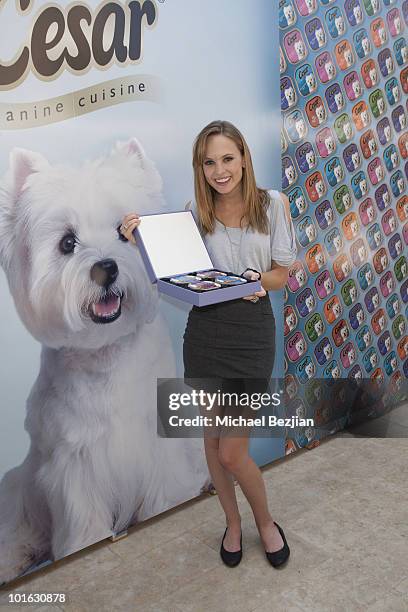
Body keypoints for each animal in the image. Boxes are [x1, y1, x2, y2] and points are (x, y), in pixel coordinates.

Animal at [0, 139, 209, 584]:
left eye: (123, 232)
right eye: (67, 243)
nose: (105, 268)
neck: (106, 354)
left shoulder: (159, 447)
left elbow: (165, 492)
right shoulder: (71, 463)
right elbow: (83, 522)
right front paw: (84, 546)